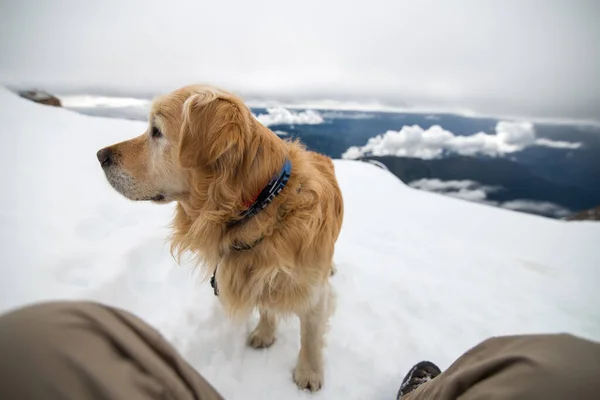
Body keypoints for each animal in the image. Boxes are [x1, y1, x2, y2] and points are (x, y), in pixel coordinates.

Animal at [96, 83, 344, 390]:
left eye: (156, 131)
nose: (100, 156)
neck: (264, 208)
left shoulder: (314, 293)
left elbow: (309, 335)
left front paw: (308, 372)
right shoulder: (258, 277)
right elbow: (266, 307)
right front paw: (265, 332)